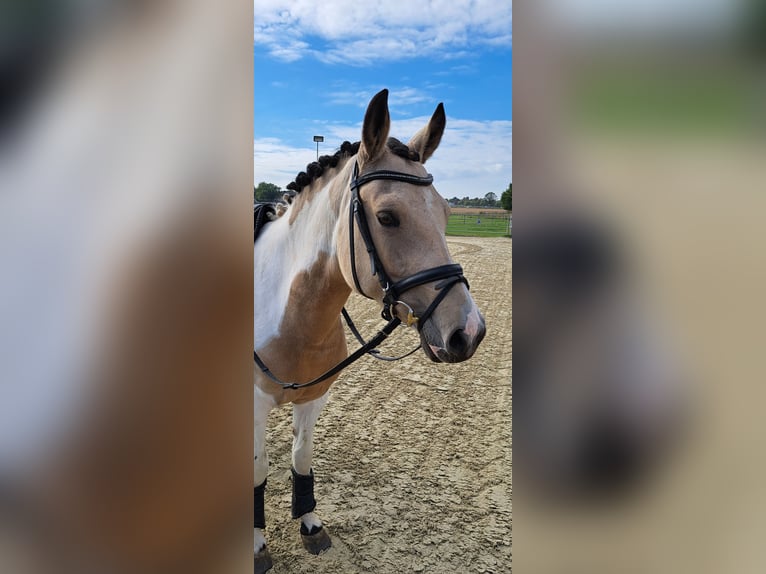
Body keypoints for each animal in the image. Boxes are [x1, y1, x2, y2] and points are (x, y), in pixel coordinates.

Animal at [253, 89, 486, 572]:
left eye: (446, 212)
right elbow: (258, 470)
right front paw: (255, 544)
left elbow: (301, 457)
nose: (468, 331)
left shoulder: (315, 397)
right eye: (388, 217)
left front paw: (310, 524)